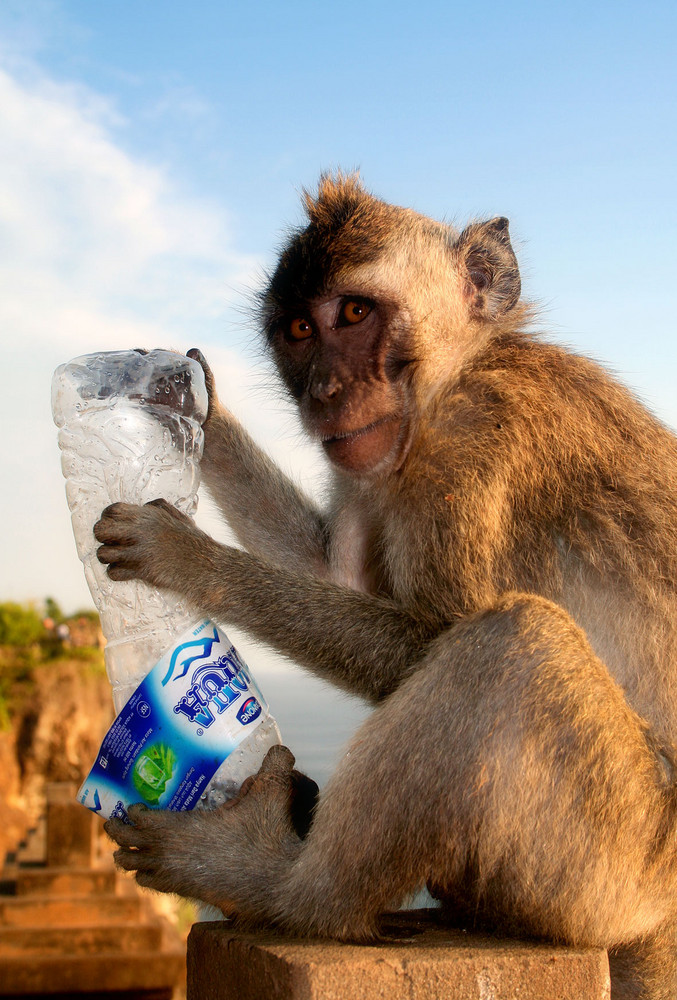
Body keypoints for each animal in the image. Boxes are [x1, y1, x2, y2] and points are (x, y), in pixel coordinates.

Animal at [97, 176, 676, 996]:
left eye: (354, 313)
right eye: (299, 330)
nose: (326, 390)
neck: (457, 373)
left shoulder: (473, 439)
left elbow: (431, 637)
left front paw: (188, 558)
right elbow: (327, 571)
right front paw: (193, 398)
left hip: (624, 866)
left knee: (511, 643)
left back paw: (277, 884)